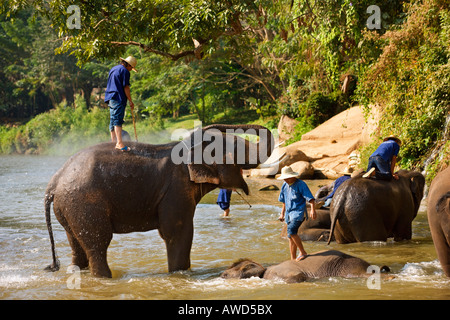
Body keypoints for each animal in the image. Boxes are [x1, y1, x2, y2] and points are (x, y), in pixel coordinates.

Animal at [44, 125, 274, 278]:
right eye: (238, 148)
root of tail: (54, 182)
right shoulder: (175, 189)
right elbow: (177, 233)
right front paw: (179, 274)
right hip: (84, 203)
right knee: (98, 243)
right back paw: (104, 278)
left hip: (68, 207)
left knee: (76, 243)